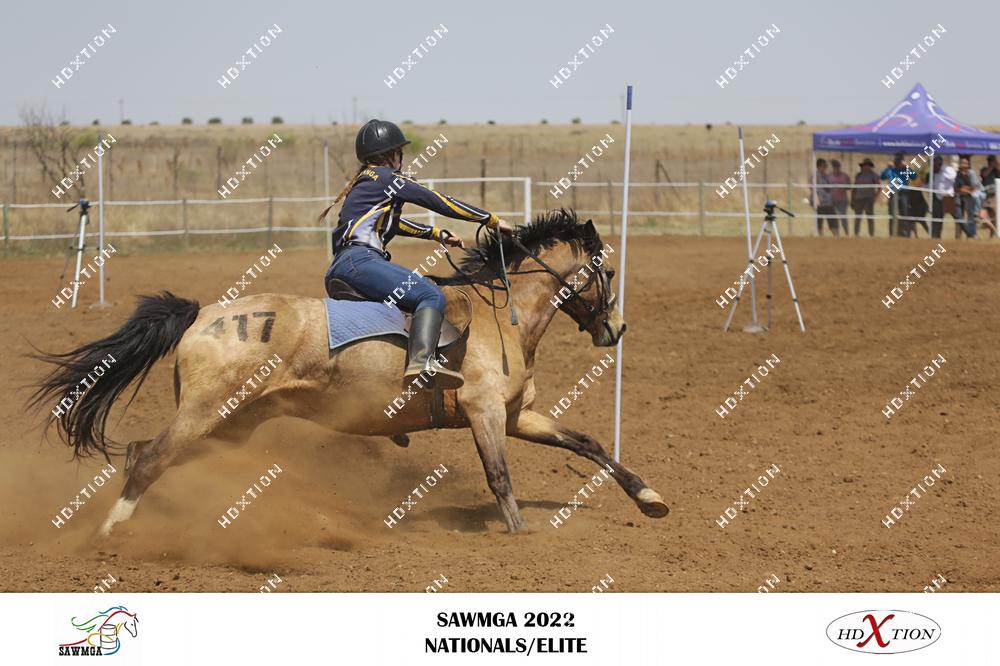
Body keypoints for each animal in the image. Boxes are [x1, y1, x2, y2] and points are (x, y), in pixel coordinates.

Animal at [31, 210, 669, 536]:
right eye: (608, 271)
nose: (617, 329)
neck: (499, 317)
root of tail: (206, 313)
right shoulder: (484, 413)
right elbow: (500, 479)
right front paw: (518, 538)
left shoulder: (518, 416)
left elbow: (588, 443)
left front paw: (648, 498)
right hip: (207, 414)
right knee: (149, 457)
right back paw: (113, 533)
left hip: (232, 424)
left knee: (145, 453)